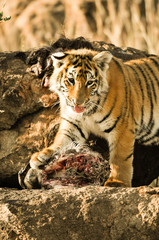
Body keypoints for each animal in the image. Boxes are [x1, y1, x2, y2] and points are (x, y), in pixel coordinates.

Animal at [29, 41, 158, 188]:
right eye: (71, 80)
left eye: (90, 82)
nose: (78, 103)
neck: (89, 111)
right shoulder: (74, 125)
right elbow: (60, 141)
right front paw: (41, 156)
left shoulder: (122, 127)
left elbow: (120, 158)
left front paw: (117, 182)